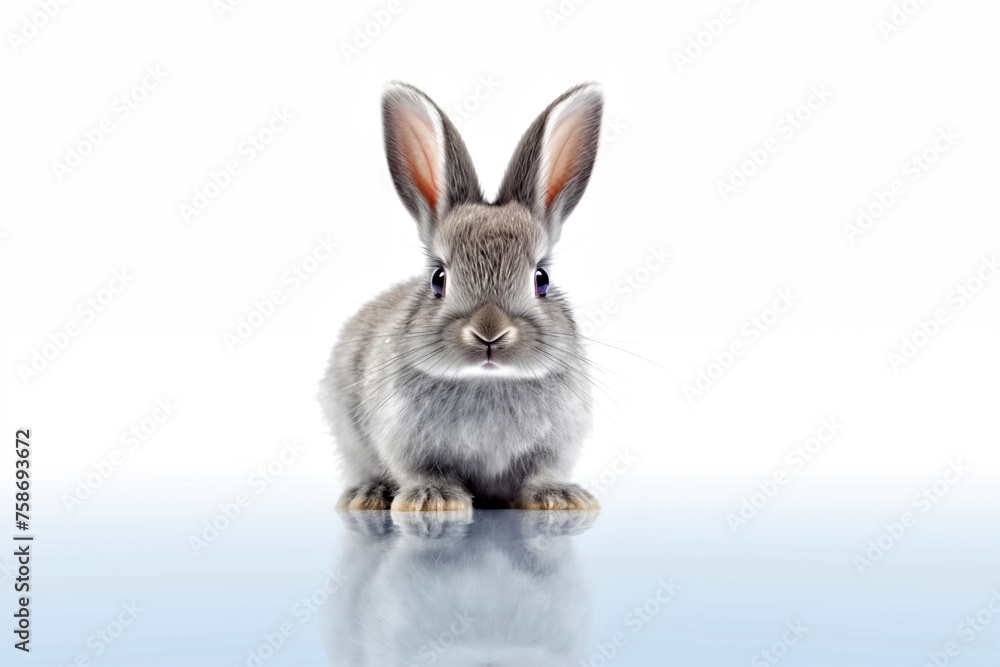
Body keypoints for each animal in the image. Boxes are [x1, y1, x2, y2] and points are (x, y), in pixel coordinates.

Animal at [319, 81, 604, 512]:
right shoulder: (405, 442)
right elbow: (423, 471)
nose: (489, 333)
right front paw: (432, 501)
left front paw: (561, 497)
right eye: (439, 279)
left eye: (541, 279)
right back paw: (369, 495)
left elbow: (541, 472)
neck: (487, 381)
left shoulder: (556, 445)